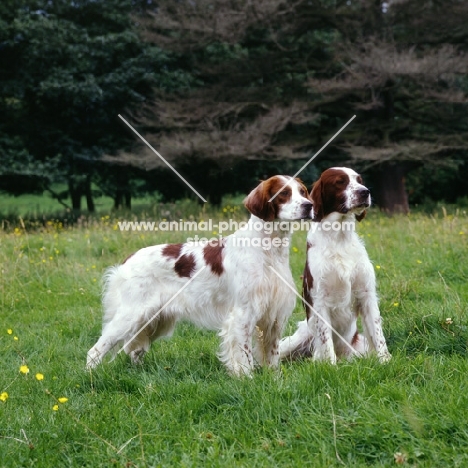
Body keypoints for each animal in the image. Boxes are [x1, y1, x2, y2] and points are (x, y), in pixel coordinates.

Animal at [87, 176, 314, 376]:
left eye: (303, 192)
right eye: (283, 193)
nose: (309, 205)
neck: (268, 249)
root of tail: (128, 260)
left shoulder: (274, 315)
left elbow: (273, 355)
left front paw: (274, 379)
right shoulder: (243, 314)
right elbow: (244, 356)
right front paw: (247, 379)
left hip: (155, 320)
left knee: (135, 350)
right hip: (131, 314)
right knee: (96, 350)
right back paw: (90, 377)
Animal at [282, 166, 392, 364]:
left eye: (359, 180)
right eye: (340, 182)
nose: (365, 192)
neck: (339, 237)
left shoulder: (367, 294)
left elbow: (378, 334)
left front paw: (385, 361)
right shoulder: (320, 299)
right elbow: (326, 341)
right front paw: (331, 365)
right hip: (299, 337)